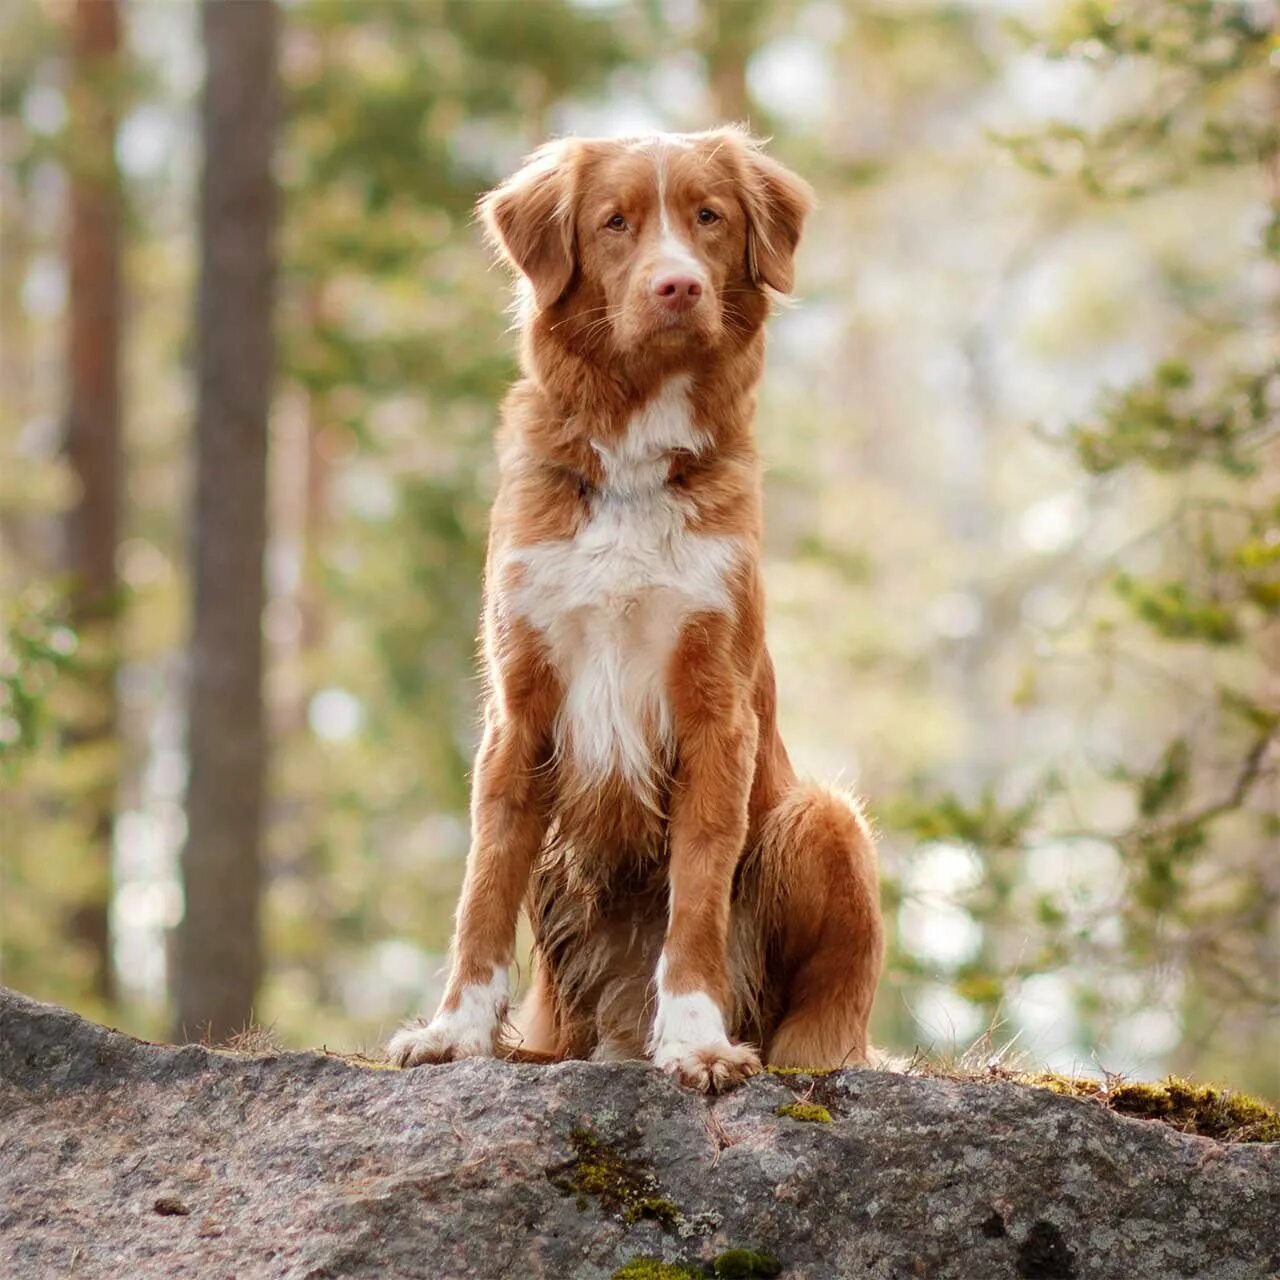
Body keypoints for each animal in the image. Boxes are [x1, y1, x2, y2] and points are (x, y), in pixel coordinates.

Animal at [389, 129, 885, 1090]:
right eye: (615, 223)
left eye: (709, 217)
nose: (677, 287)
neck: (633, 458)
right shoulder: (520, 707)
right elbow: (482, 890)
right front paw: (454, 1034)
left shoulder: (714, 708)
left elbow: (696, 899)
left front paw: (694, 1041)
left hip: (824, 819)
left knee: (821, 1022)